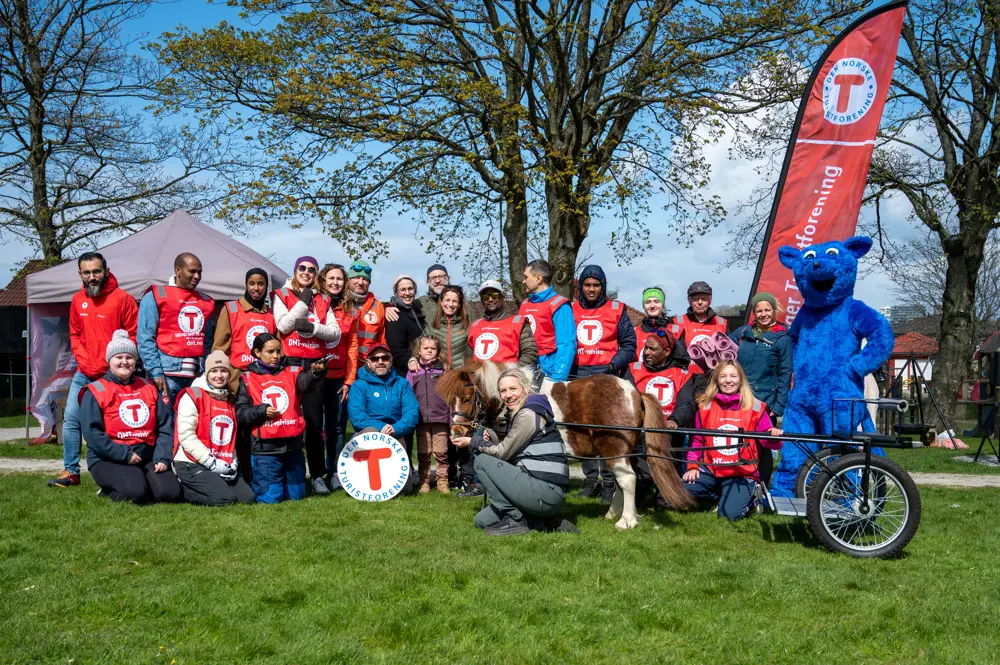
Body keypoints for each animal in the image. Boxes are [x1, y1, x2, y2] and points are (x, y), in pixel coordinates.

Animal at [442, 360, 692, 528]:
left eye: (467, 399)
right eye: (449, 400)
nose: (456, 432)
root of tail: (634, 392)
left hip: (615, 448)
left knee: (628, 479)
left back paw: (626, 520)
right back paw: (612, 513)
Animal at [768, 236, 896, 496]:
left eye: (832, 252)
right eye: (808, 256)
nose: (816, 265)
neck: (824, 309)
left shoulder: (858, 312)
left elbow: (881, 331)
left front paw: (854, 365)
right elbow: (794, 339)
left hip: (841, 414)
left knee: (846, 461)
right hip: (801, 413)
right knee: (799, 453)